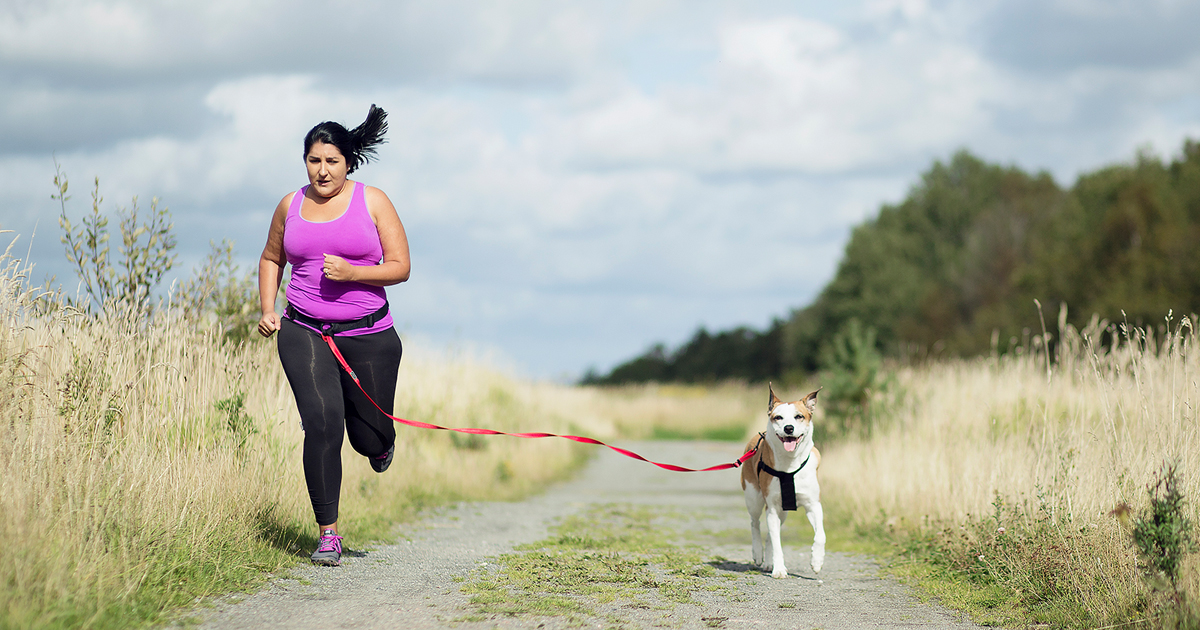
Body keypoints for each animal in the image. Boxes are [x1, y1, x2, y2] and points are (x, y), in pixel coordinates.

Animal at [739, 381, 825, 578]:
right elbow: (777, 543)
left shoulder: (813, 504)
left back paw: (768, 562)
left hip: (783, 511)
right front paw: (779, 569)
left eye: (799, 416)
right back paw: (758, 554)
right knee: (755, 523)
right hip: (754, 497)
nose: (788, 428)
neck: (790, 464)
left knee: (770, 535)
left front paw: (816, 561)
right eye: (778, 417)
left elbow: (820, 535)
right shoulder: (771, 506)